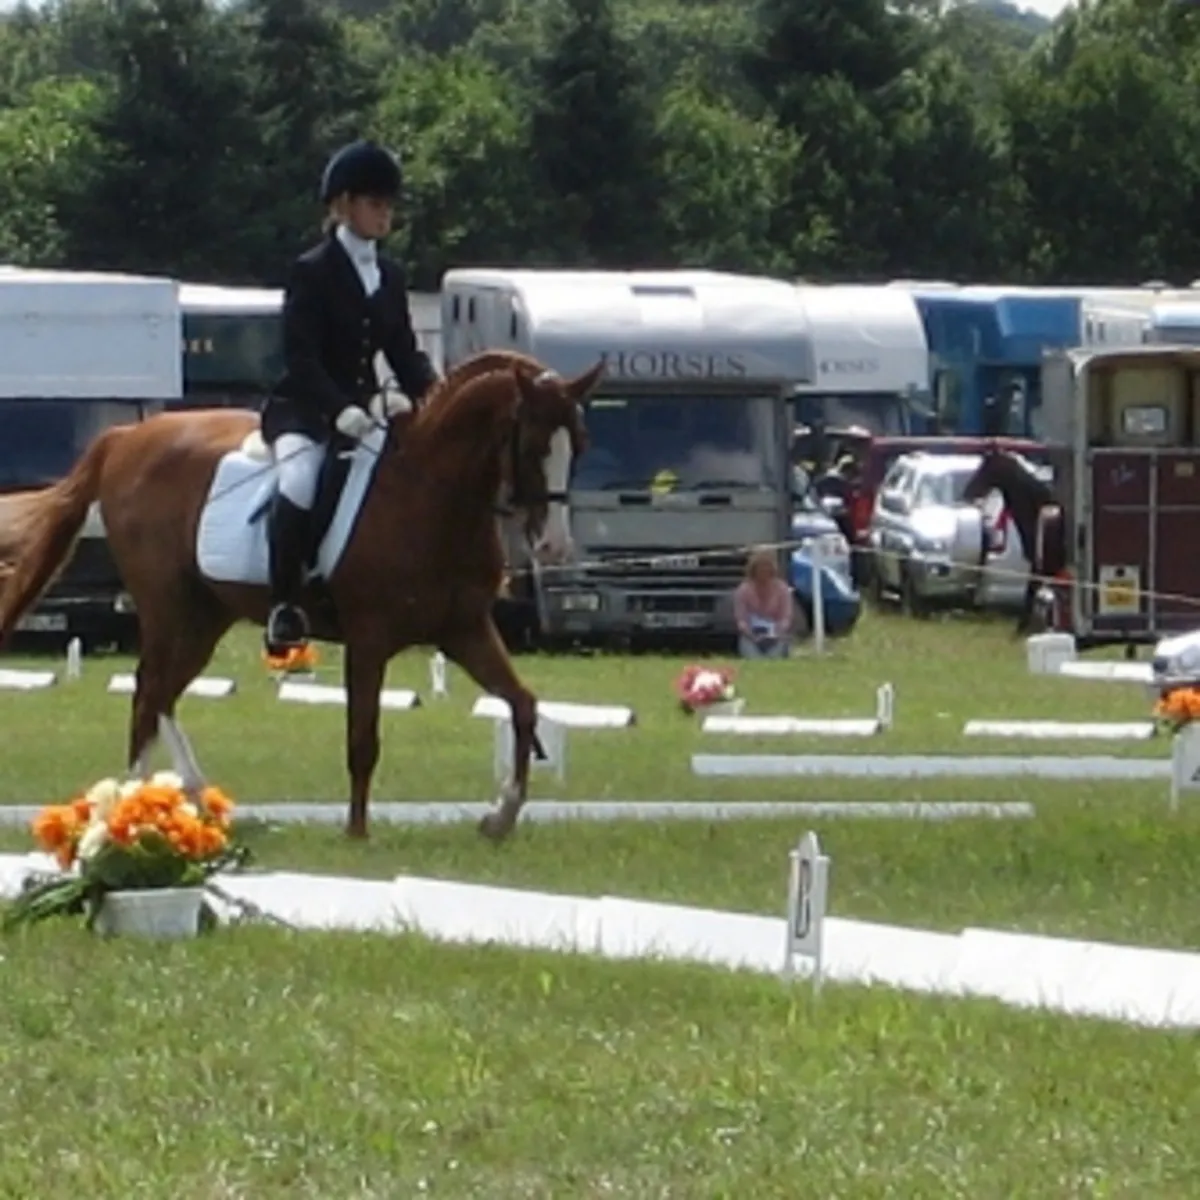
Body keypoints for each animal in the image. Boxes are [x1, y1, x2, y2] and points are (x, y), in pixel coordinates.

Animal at [0, 352, 600, 844]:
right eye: (534, 445)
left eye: (579, 445)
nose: (555, 546)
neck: (430, 496)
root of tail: (124, 437)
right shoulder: (369, 637)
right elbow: (363, 737)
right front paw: (357, 832)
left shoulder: (465, 629)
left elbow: (522, 704)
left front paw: (502, 816)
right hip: (171, 607)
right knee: (151, 693)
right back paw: (155, 801)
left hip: (204, 615)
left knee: (157, 693)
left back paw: (170, 799)